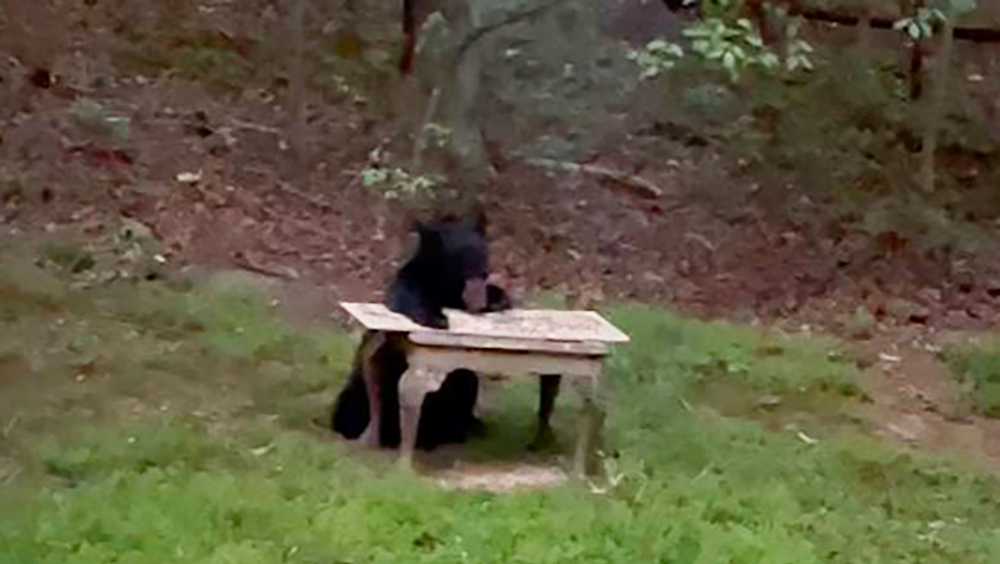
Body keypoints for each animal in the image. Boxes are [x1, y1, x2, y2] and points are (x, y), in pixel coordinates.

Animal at [332, 212, 528, 450]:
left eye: (483, 257)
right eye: (461, 261)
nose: (477, 298)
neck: (444, 287)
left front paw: (499, 299)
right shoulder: (412, 285)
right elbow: (412, 299)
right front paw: (438, 318)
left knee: (466, 388)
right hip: (362, 391)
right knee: (351, 410)